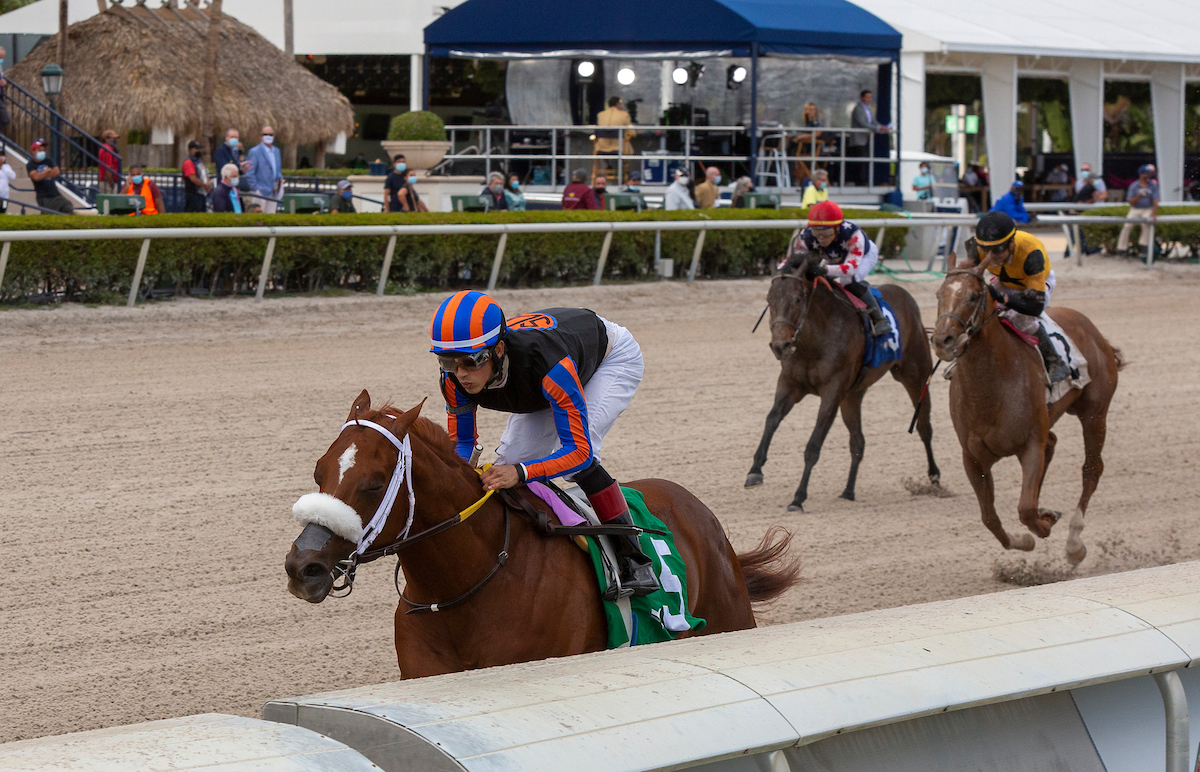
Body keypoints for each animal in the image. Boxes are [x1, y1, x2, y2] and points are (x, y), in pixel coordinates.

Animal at [285, 393, 801, 677]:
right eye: (319, 471)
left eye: (373, 484)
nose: (302, 567)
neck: (464, 589)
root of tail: (699, 509)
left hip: (731, 619)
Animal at [748, 268, 936, 511]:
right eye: (769, 300)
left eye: (797, 299)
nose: (780, 346)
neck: (814, 339)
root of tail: (906, 295)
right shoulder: (790, 383)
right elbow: (772, 419)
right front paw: (755, 471)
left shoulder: (832, 392)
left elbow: (814, 444)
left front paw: (798, 497)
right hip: (853, 395)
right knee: (858, 441)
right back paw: (848, 491)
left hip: (916, 375)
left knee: (924, 426)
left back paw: (935, 477)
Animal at [926, 256, 1123, 564]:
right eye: (938, 294)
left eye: (973, 296)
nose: (942, 340)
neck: (991, 388)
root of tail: (1093, 331)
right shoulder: (973, 457)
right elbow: (990, 518)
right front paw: (1026, 539)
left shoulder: (1030, 444)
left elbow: (1026, 509)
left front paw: (1045, 523)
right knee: (1052, 445)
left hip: (1094, 413)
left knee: (1091, 469)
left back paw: (1074, 542)